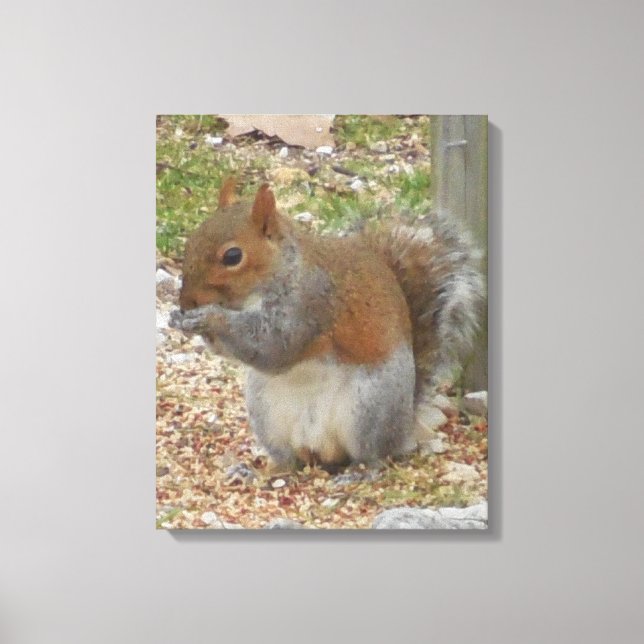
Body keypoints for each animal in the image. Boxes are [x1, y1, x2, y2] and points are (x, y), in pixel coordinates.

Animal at [169, 178, 485, 468]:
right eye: (191, 240)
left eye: (233, 256)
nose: (187, 302)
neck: (281, 270)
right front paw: (180, 319)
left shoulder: (310, 303)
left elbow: (273, 345)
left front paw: (209, 317)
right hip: (266, 413)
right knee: (289, 460)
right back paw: (264, 472)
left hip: (369, 407)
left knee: (374, 454)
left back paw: (361, 471)